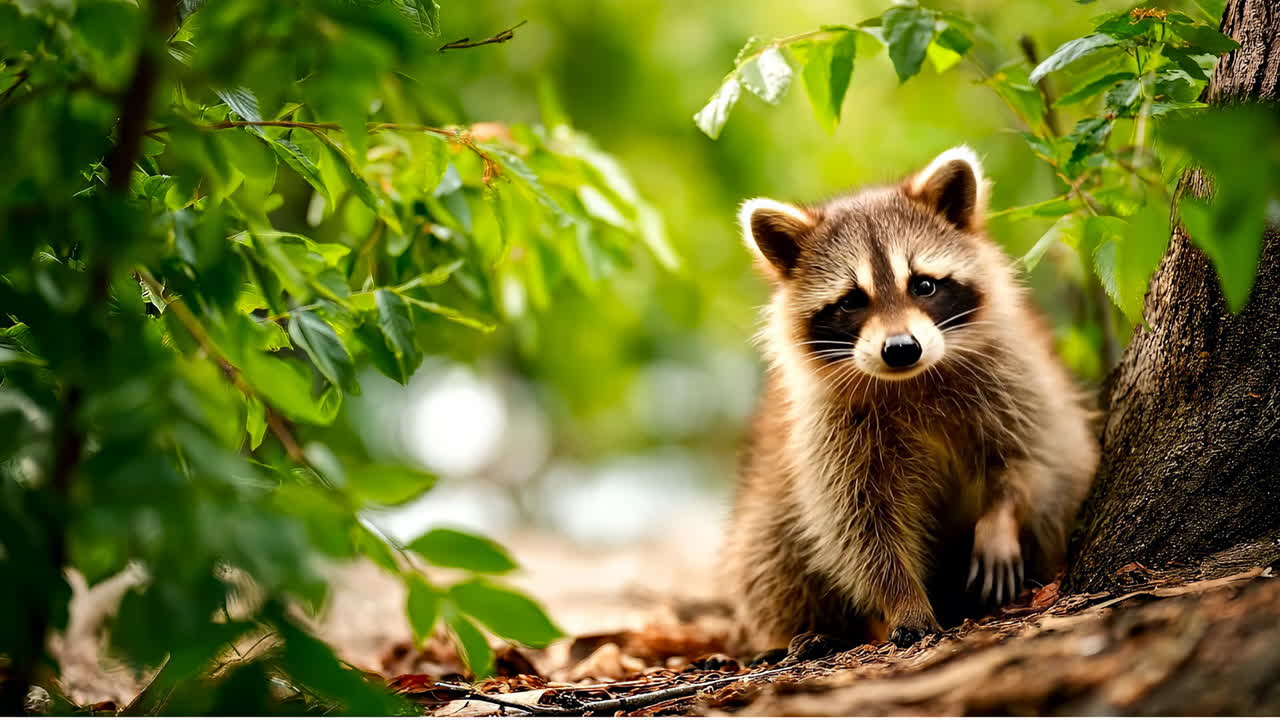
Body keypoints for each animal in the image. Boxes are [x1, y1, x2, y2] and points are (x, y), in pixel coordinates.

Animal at [723, 146, 1099, 651]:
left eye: (923, 285)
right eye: (851, 301)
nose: (901, 349)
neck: (911, 380)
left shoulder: (1016, 376)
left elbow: (1035, 457)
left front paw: (1001, 517)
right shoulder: (832, 434)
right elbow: (859, 525)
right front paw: (903, 600)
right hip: (766, 504)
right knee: (770, 552)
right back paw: (817, 632)